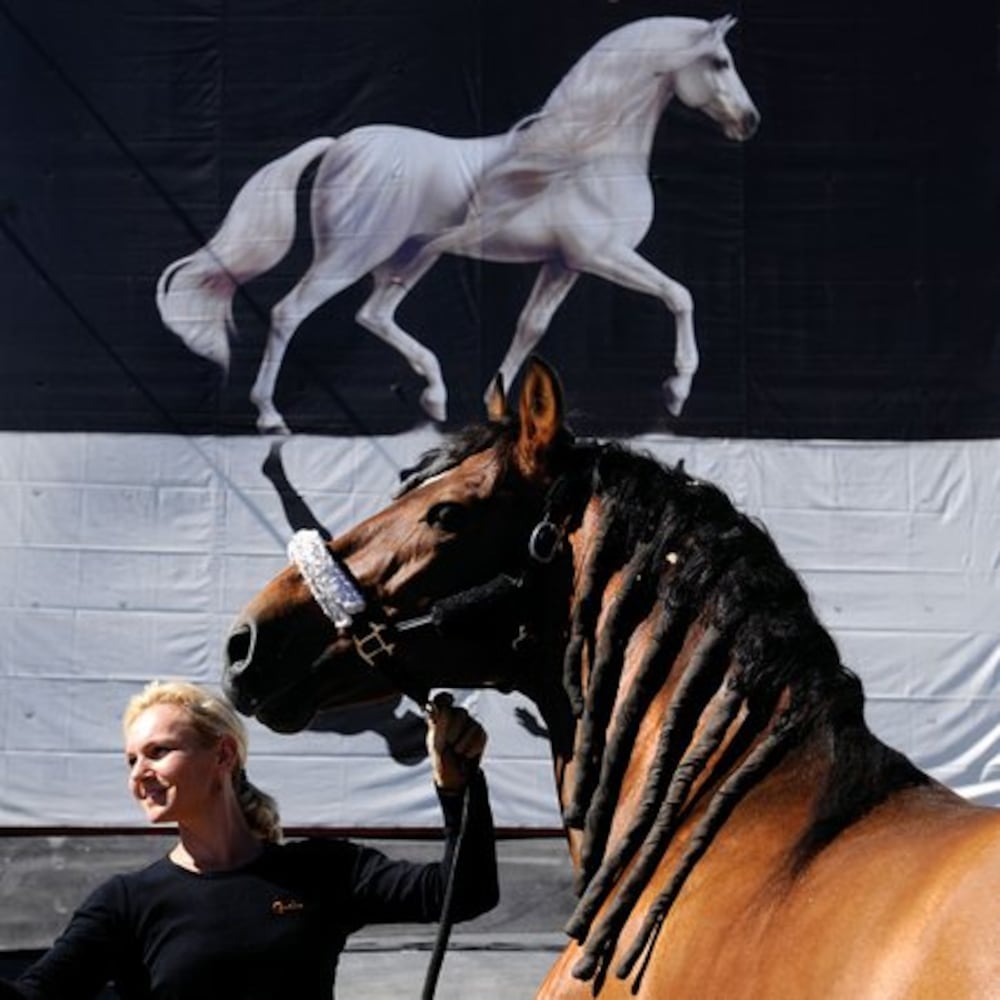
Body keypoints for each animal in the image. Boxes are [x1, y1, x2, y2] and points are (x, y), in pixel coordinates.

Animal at [156, 13, 756, 432]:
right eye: (720, 62)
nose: (749, 123)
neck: (588, 154)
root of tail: (341, 144)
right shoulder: (601, 257)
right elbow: (679, 295)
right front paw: (677, 390)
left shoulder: (563, 264)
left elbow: (530, 328)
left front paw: (495, 405)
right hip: (351, 254)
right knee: (289, 312)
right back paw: (269, 416)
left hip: (410, 255)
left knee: (374, 314)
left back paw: (435, 395)